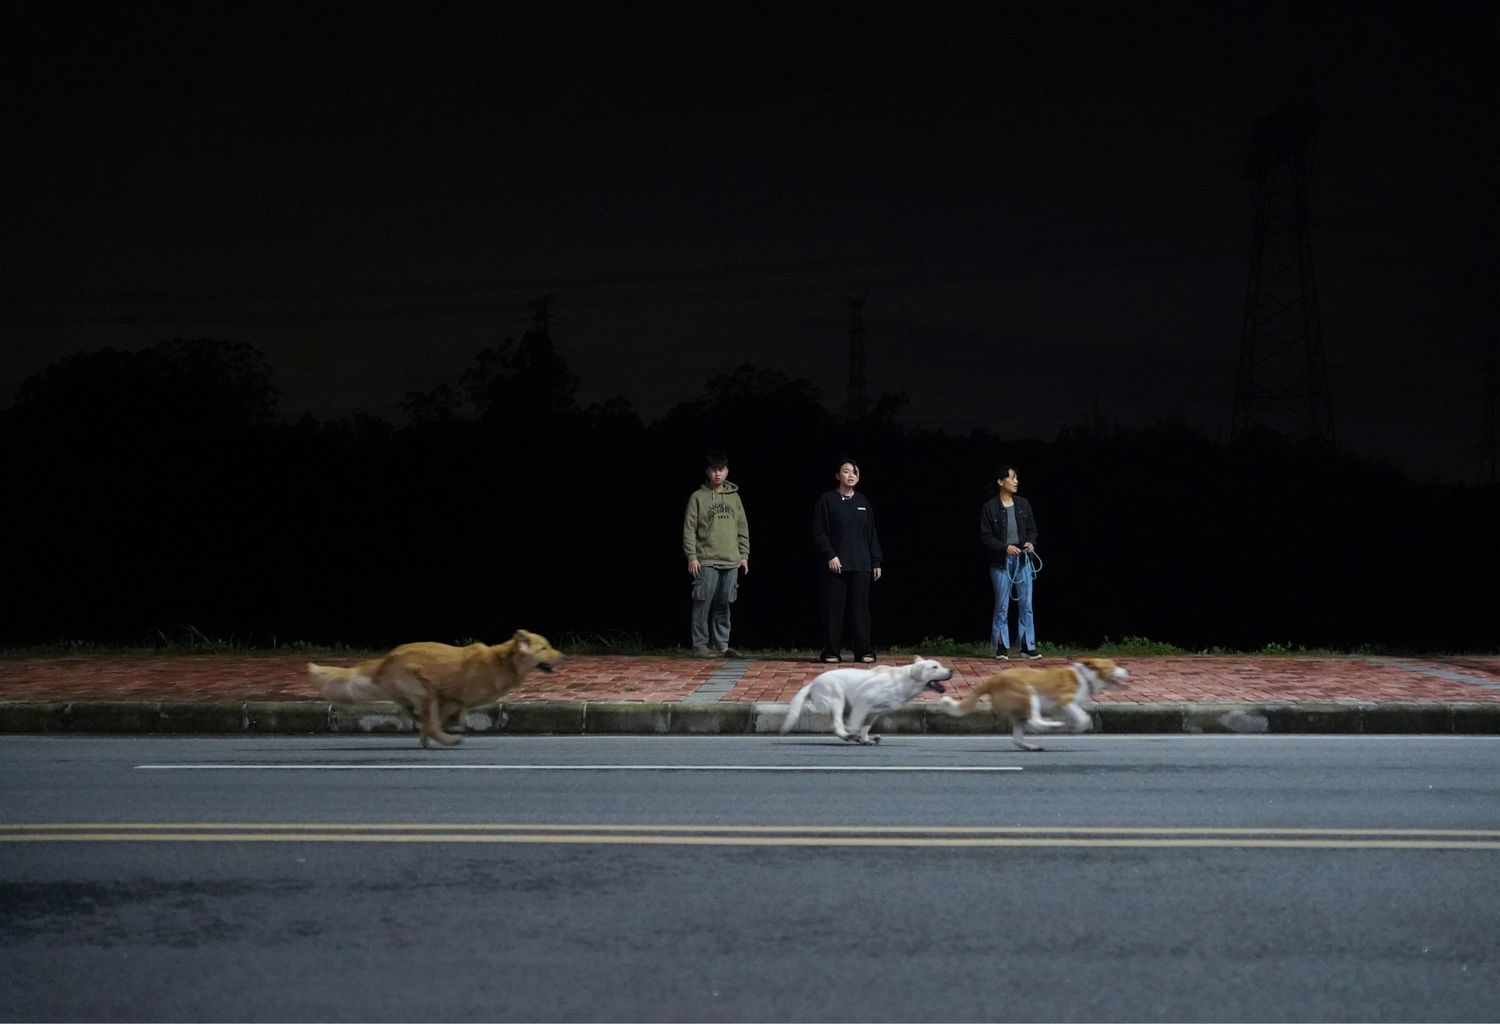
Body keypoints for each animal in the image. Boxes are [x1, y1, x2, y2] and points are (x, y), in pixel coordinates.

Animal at [307, 629, 564, 749]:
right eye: (544, 648)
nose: (563, 656)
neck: (503, 661)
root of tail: (386, 659)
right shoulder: (450, 699)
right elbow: (438, 721)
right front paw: (437, 736)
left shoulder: (450, 703)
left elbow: (438, 720)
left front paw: (426, 738)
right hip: (424, 691)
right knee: (423, 716)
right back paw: (447, 739)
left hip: (418, 693)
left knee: (410, 711)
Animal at [780, 656, 954, 743]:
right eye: (934, 667)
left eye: (940, 665)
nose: (952, 671)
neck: (905, 682)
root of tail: (813, 683)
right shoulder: (862, 703)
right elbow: (856, 725)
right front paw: (856, 736)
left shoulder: (874, 713)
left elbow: (865, 727)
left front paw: (865, 739)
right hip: (837, 700)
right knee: (836, 725)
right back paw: (847, 736)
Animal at [936, 656, 1128, 752]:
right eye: (1113, 666)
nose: (1128, 671)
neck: (1086, 677)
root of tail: (993, 680)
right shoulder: (1065, 700)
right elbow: (1083, 717)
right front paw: (1078, 726)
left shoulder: (1062, 708)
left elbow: (1077, 717)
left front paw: (1072, 726)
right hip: (1029, 693)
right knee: (1034, 720)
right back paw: (1051, 725)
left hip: (1019, 711)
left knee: (1018, 737)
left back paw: (1034, 744)